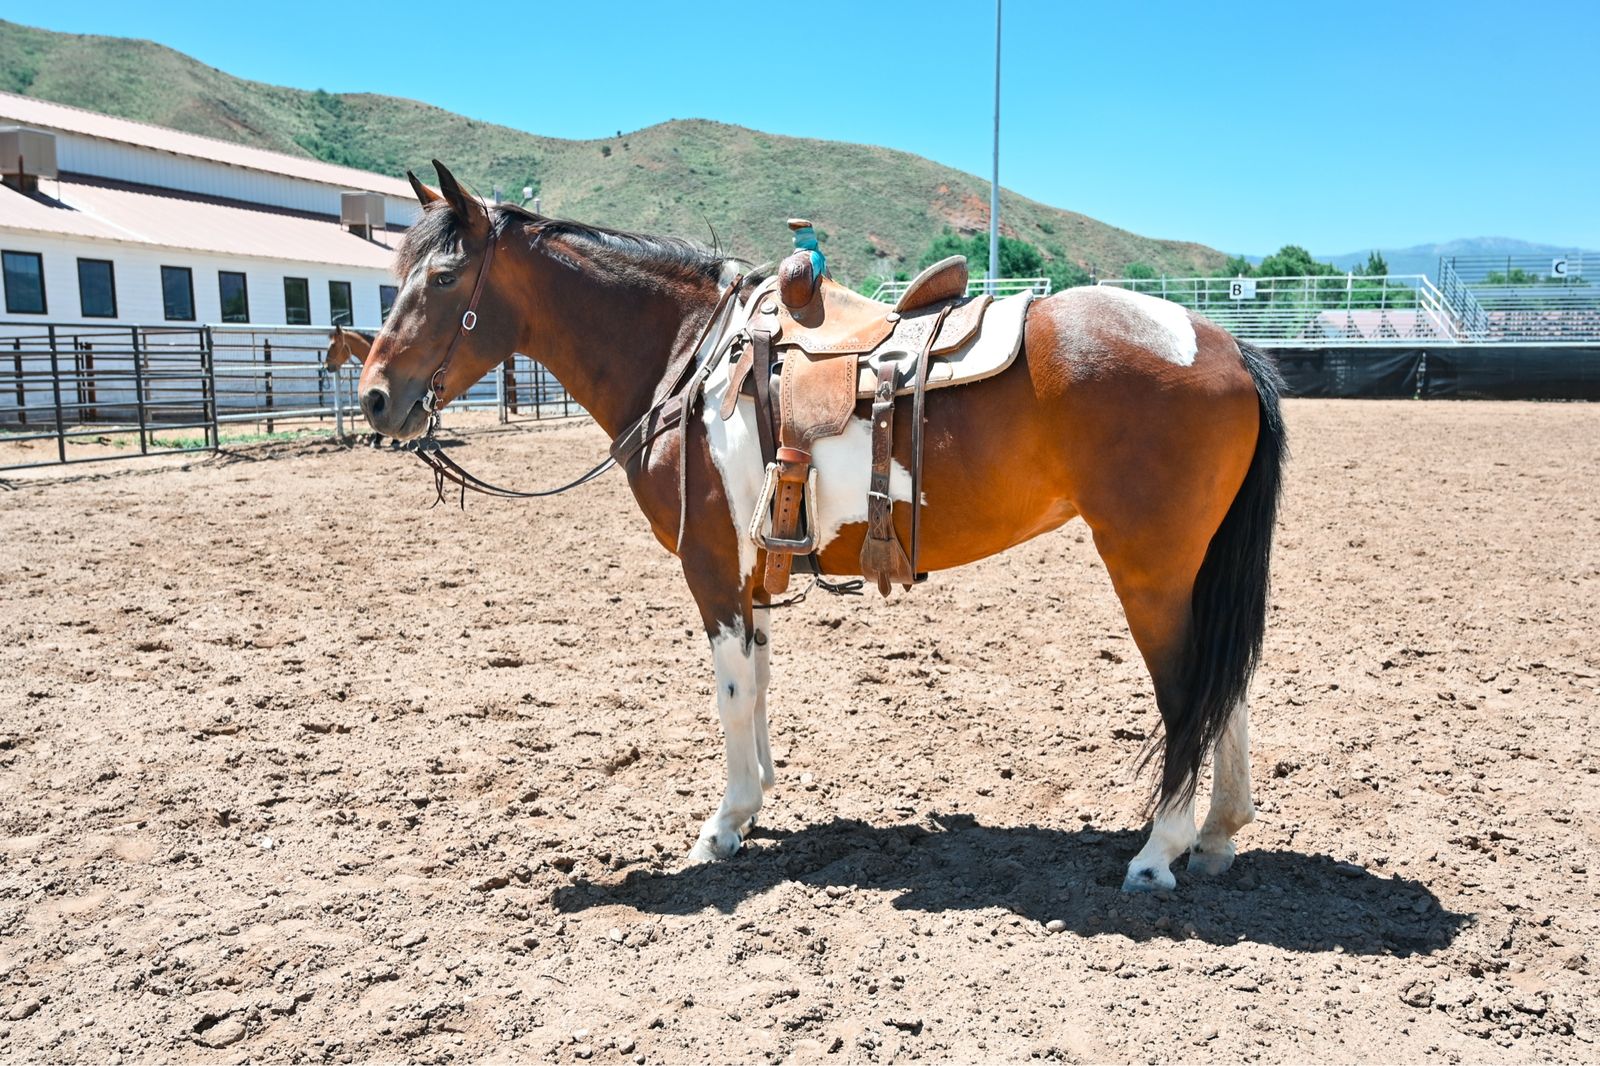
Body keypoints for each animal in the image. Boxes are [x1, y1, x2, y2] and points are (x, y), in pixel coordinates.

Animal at [358, 161, 1287, 893]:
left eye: (443, 279)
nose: (373, 399)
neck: (687, 358)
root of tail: (1225, 347)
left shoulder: (709, 566)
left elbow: (731, 693)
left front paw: (724, 823)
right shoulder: (751, 568)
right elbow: (759, 681)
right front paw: (759, 799)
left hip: (1149, 567)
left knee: (1186, 693)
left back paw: (1158, 853)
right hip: (1193, 568)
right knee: (1227, 684)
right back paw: (1216, 836)